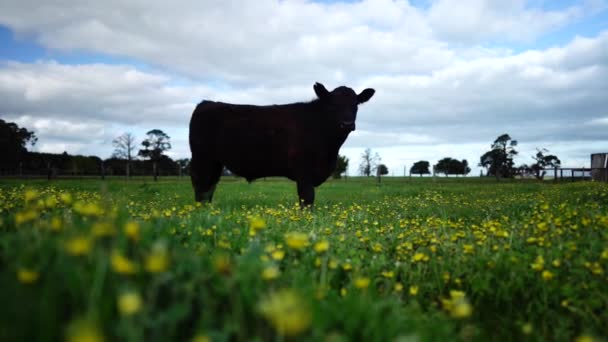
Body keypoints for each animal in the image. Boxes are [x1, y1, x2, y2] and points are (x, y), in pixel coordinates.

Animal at [190, 82, 372, 206]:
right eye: (333, 104)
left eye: (356, 104)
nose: (347, 124)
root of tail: (205, 103)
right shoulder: (304, 173)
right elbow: (307, 200)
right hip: (202, 158)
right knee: (201, 187)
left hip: (214, 163)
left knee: (209, 188)